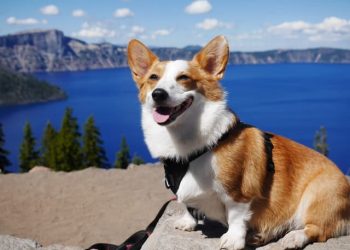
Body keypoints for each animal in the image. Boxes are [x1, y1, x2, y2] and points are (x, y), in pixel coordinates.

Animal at [127, 35, 348, 250]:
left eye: (184, 78)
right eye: (153, 78)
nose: (158, 94)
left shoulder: (238, 194)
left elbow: (236, 217)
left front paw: (233, 240)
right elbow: (187, 206)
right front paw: (188, 222)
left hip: (317, 195)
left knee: (317, 229)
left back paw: (293, 238)